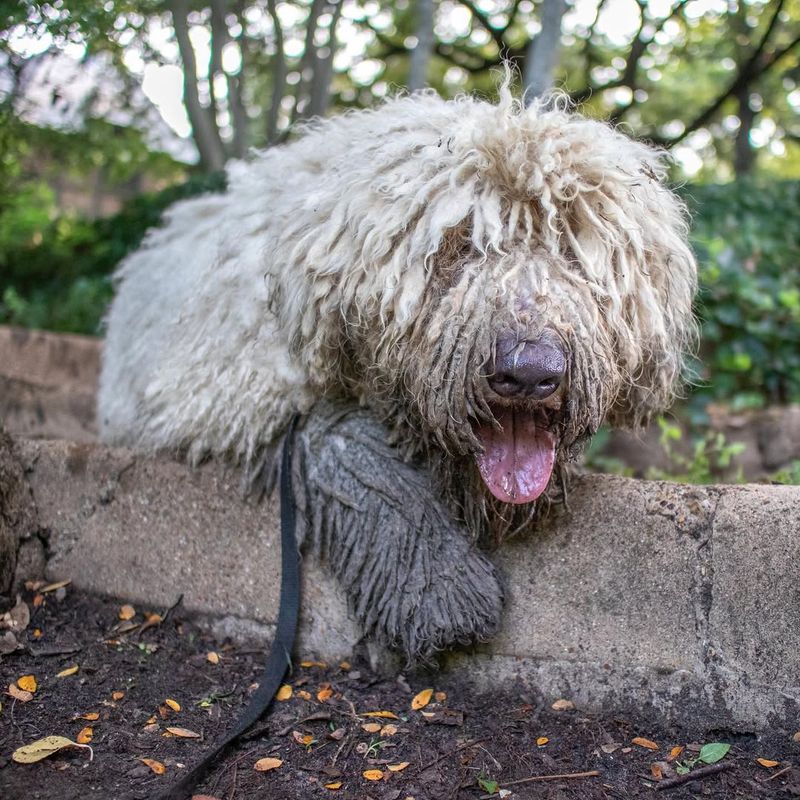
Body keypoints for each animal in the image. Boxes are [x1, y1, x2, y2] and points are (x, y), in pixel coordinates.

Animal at [100, 84, 696, 664]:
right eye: (459, 245)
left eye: (573, 249)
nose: (529, 373)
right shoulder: (221, 394)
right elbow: (347, 444)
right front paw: (439, 587)